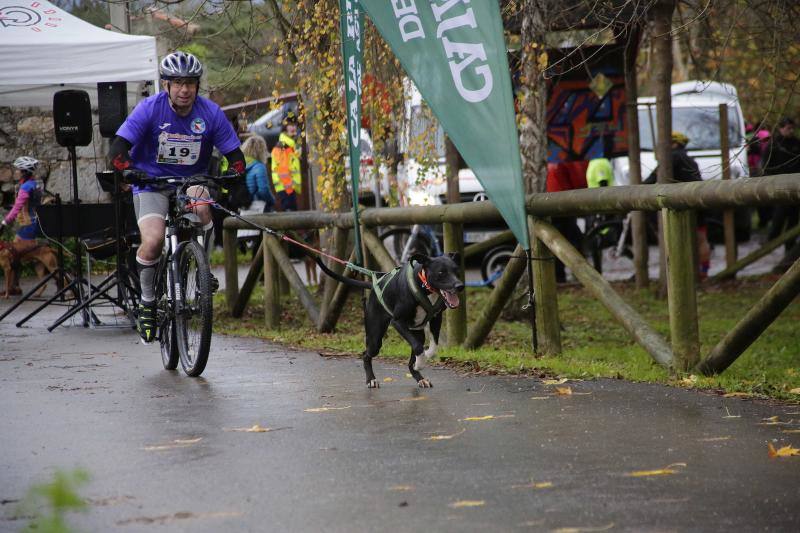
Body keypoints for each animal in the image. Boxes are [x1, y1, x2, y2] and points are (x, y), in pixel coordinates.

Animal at [312, 254, 462, 386]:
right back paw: (371, 380)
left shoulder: (436, 318)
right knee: (366, 354)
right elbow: (419, 347)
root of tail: (373, 286)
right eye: (441, 272)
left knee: (411, 358)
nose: (460, 286)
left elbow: (433, 345)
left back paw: (420, 378)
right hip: (375, 339)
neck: (423, 285)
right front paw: (420, 362)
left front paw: (425, 357)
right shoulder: (398, 322)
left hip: (417, 333)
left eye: (456, 270)